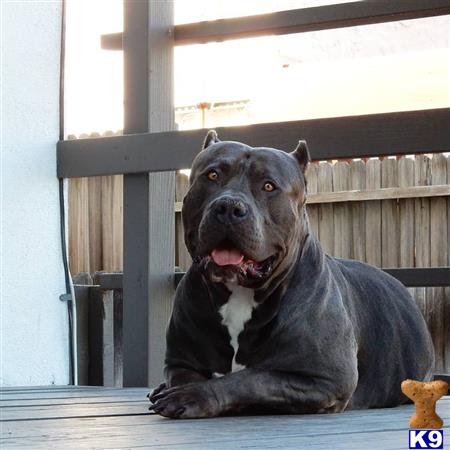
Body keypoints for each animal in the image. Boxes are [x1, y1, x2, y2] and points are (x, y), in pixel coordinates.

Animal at [149, 132, 434, 420]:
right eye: (212, 175)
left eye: (268, 186)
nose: (228, 206)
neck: (241, 293)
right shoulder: (180, 363)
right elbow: (190, 377)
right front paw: (181, 391)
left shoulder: (325, 380)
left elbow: (252, 379)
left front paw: (194, 395)